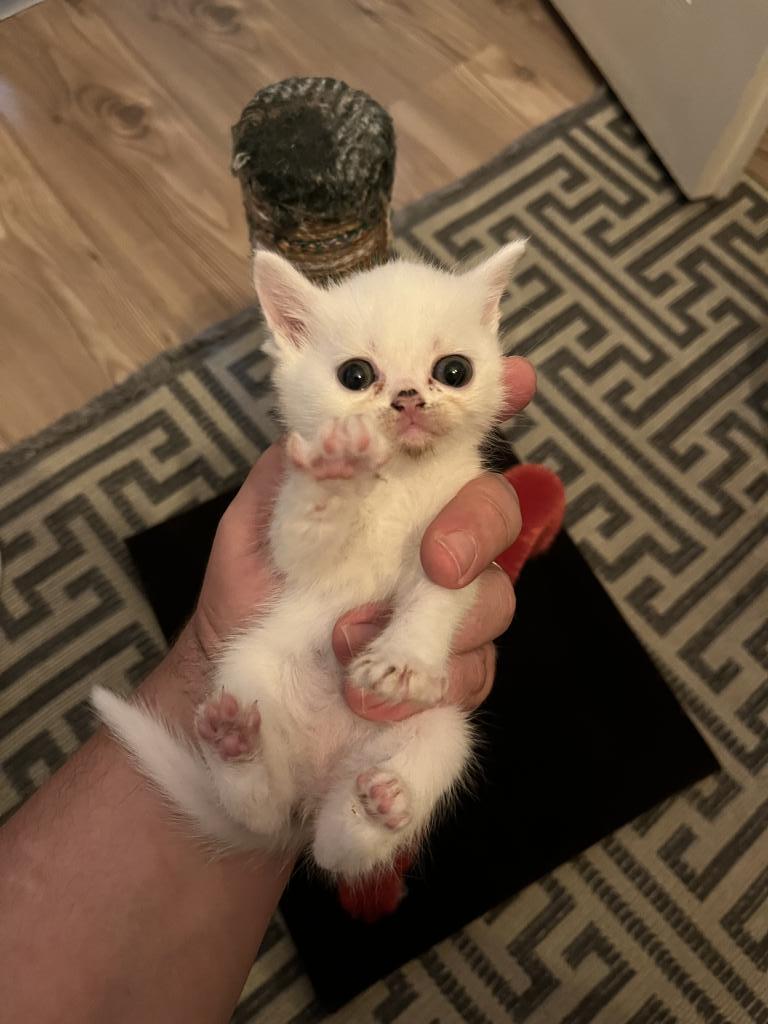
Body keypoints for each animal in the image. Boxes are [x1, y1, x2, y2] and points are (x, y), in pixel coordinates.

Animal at [93, 239, 526, 880]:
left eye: (454, 371)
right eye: (356, 375)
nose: (408, 398)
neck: (399, 483)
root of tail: (315, 783)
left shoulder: (459, 536)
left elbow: (438, 593)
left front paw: (402, 661)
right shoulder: (286, 541)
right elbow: (307, 530)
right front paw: (336, 472)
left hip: (443, 730)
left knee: (335, 847)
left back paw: (378, 805)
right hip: (247, 669)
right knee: (262, 814)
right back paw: (238, 749)